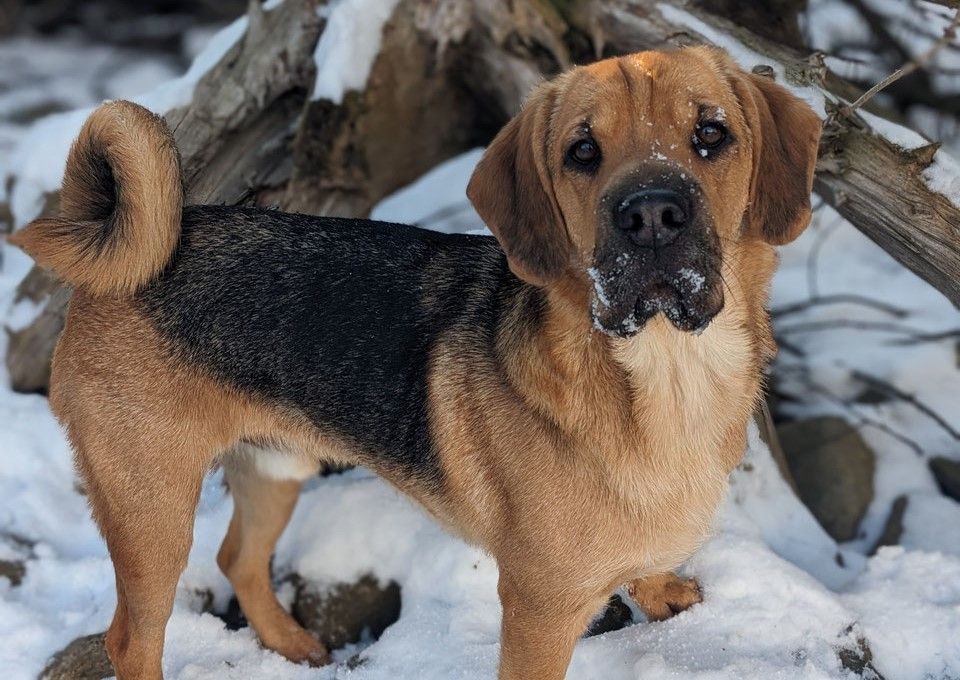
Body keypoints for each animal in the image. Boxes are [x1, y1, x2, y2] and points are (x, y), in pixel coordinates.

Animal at [9, 46, 816, 680]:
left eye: (711, 134)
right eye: (581, 152)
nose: (650, 216)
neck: (666, 376)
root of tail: (135, 254)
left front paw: (658, 590)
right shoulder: (539, 609)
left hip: (275, 466)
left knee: (239, 559)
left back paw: (294, 646)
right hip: (152, 511)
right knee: (131, 638)